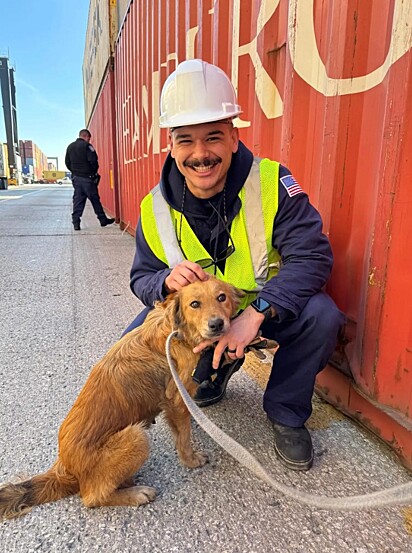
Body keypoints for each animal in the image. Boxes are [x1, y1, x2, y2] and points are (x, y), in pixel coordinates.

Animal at [0, 276, 243, 516]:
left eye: (221, 297)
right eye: (194, 304)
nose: (217, 324)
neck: (176, 332)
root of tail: (65, 468)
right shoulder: (177, 400)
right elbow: (184, 437)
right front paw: (191, 460)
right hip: (136, 437)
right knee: (91, 498)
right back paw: (135, 494)